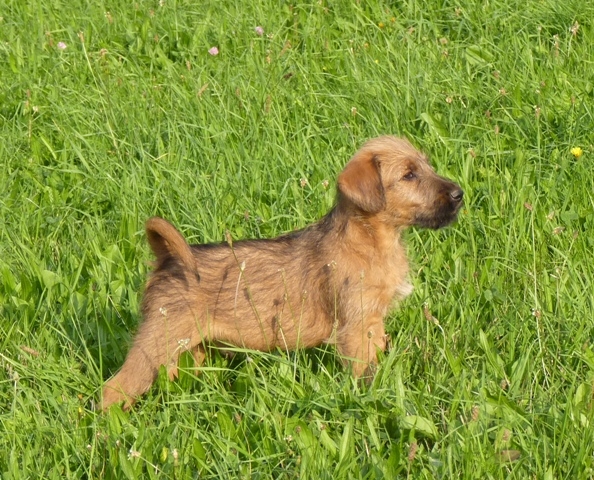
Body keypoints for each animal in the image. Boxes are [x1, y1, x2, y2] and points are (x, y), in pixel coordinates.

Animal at [101, 135, 463, 410]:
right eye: (409, 175)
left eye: (426, 166)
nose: (460, 194)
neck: (370, 239)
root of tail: (170, 259)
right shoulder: (357, 328)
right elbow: (365, 372)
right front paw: (371, 398)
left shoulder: (373, 322)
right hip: (156, 343)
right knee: (114, 389)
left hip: (188, 348)